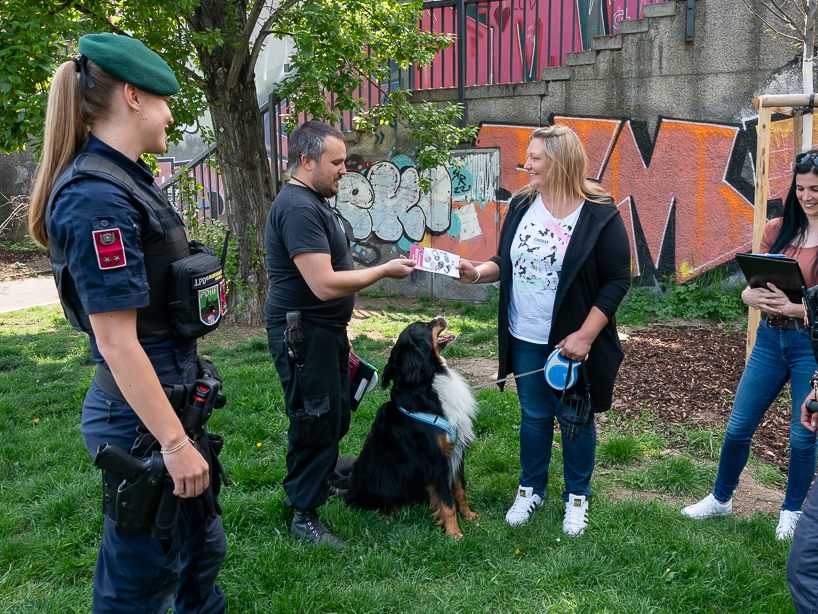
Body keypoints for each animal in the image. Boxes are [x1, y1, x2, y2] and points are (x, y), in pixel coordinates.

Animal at [332, 318, 478, 540]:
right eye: (423, 325)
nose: (441, 316)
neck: (427, 383)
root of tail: (346, 483)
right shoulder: (435, 460)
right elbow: (447, 502)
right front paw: (454, 533)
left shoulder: (456, 451)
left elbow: (460, 490)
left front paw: (469, 516)